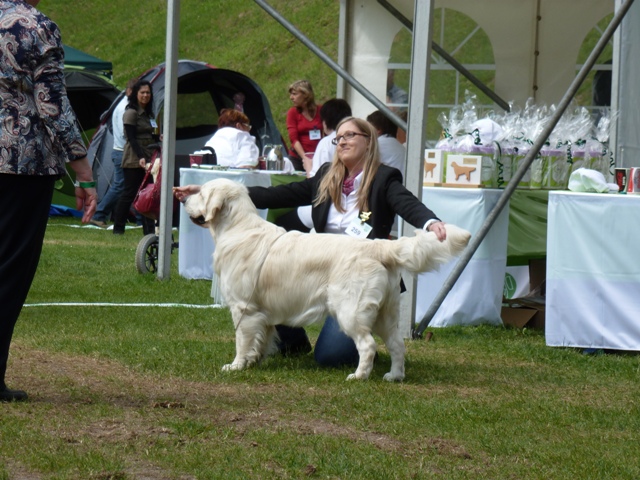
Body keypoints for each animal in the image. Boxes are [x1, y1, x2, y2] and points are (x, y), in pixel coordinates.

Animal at [182, 178, 472, 380]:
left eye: (201, 193)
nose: (183, 200)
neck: (238, 228)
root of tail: (379, 246)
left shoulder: (244, 307)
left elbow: (242, 341)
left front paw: (236, 366)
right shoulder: (262, 312)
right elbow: (261, 340)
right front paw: (256, 361)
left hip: (350, 311)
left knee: (367, 345)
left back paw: (359, 376)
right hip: (386, 313)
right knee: (397, 345)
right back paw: (394, 376)